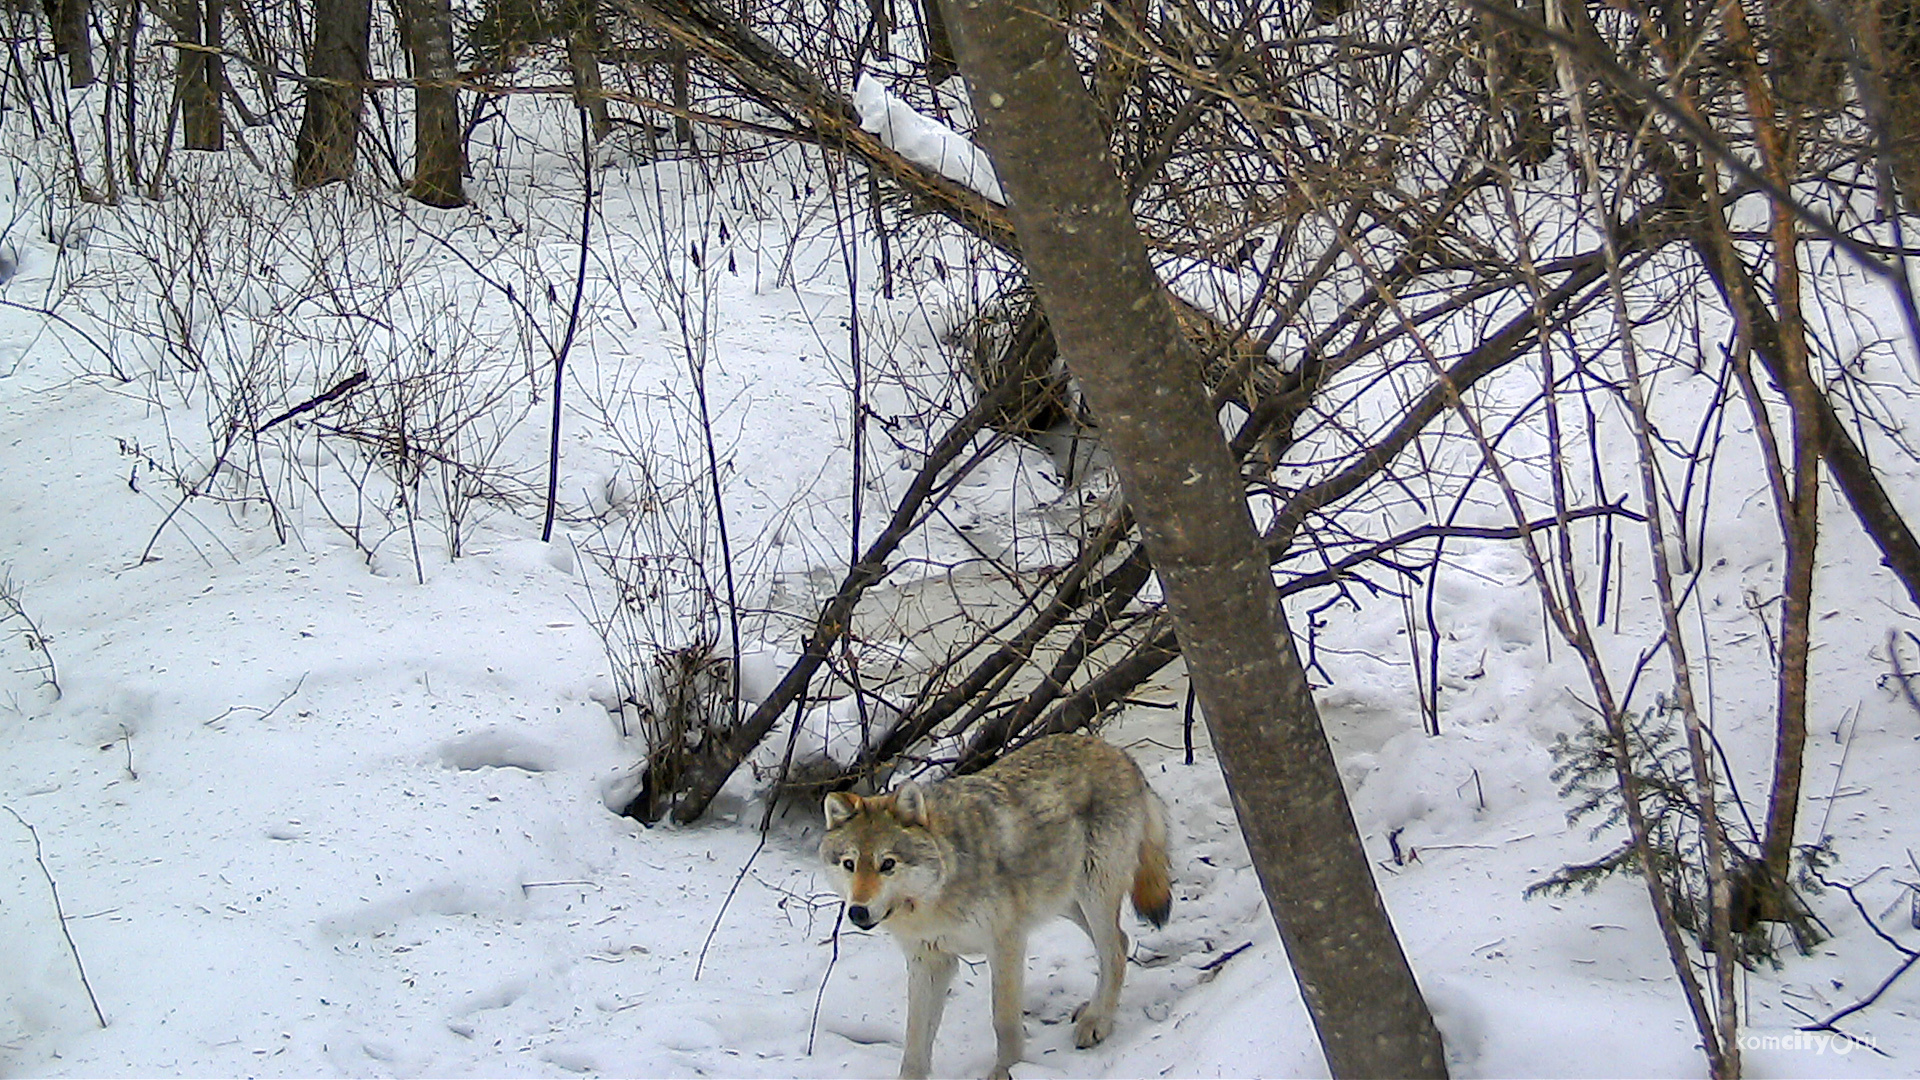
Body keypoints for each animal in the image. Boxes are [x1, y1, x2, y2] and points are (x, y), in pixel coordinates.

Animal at [814, 730, 1159, 1076]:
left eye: (887, 864)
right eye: (849, 864)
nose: (858, 912)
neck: (933, 902)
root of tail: (1116, 751)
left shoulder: (1006, 944)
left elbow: (1003, 1021)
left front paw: (1006, 1071)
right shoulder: (929, 961)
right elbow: (914, 1042)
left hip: (1092, 895)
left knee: (1114, 951)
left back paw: (1097, 1021)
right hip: (1064, 902)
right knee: (1121, 941)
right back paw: (1091, 1009)